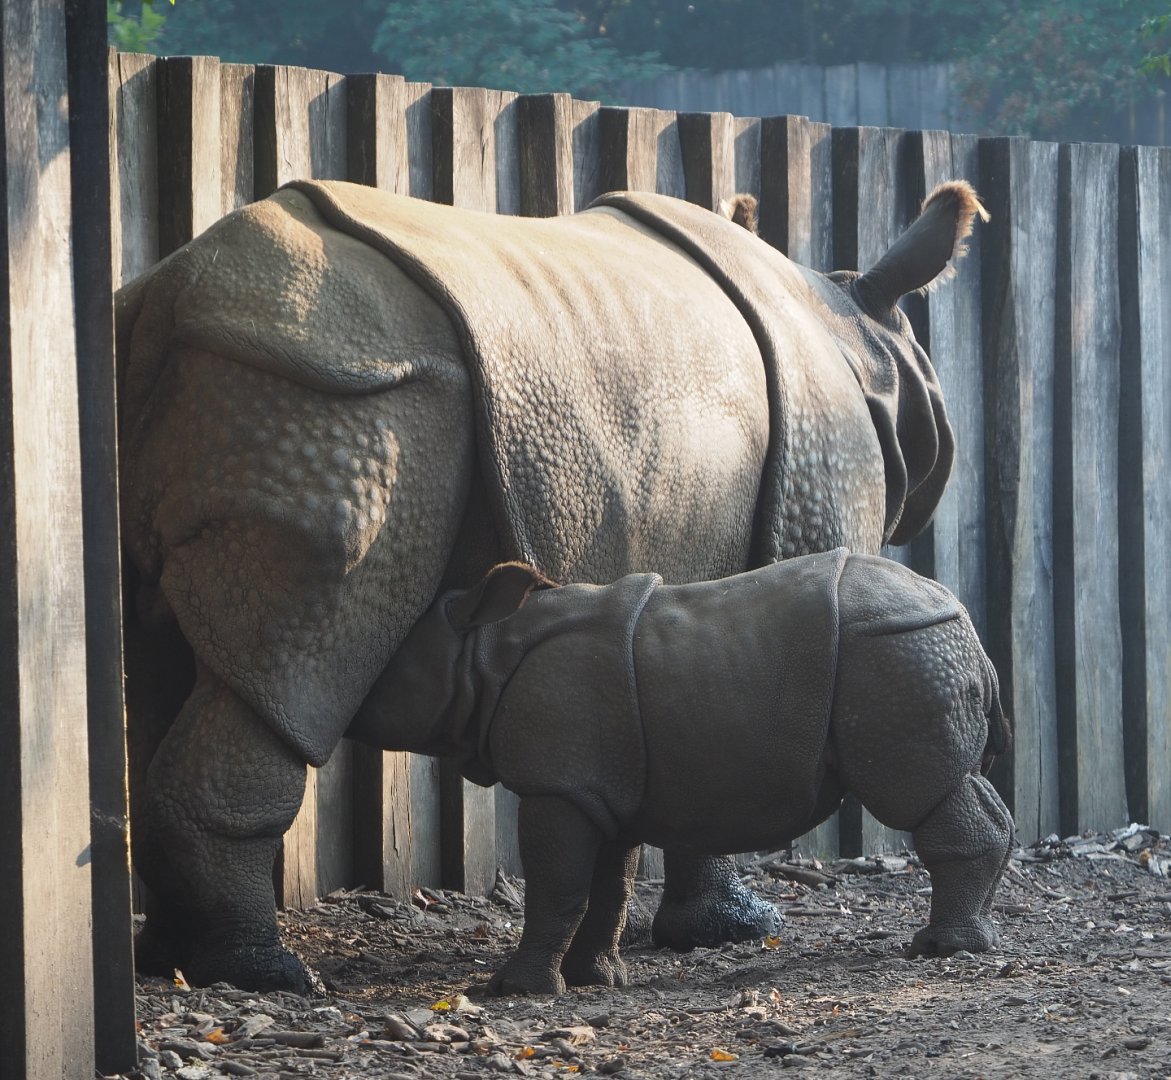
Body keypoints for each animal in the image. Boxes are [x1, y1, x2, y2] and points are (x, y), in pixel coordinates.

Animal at [350, 550, 1015, 996]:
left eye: (386, 678)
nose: (351, 714)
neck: (482, 652)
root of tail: (965, 622)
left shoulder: (559, 786)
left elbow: (556, 884)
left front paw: (515, 990)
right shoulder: (598, 787)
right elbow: (608, 888)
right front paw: (598, 979)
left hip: (895, 651)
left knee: (923, 797)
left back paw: (940, 949)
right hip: (911, 649)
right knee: (961, 788)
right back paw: (972, 940)